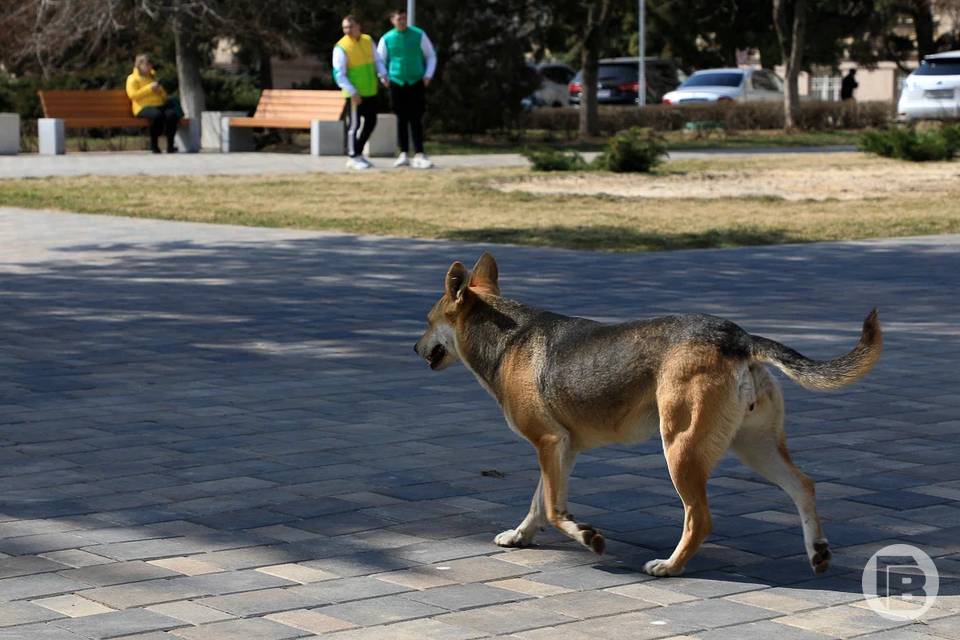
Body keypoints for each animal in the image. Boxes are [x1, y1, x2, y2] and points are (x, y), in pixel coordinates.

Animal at [416, 252, 880, 576]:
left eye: (427, 321)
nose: (414, 348)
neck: (507, 338)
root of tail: (738, 337)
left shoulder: (549, 444)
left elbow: (553, 510)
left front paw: (587, 537)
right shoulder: (561, 450)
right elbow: (539, 505)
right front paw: (520, 536)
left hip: (680, 450)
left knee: (700, 520)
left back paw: (671, 567)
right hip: (754, 448)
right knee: (804, 486)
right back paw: (817, 552)